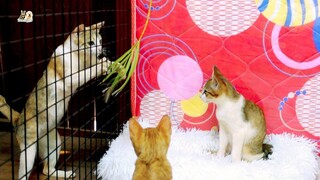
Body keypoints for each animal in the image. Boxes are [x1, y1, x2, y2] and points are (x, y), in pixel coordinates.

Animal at [0, 21, 110, 179]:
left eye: (100, 41)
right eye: (91, 42)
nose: (100, 49)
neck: (78, 55)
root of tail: (18, 118)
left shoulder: (87, 60)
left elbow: (91, 65)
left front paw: (108, 63)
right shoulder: (71, 76)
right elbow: (86, 72)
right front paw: (102, 65)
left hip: (54, 144)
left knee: (47, 169)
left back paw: (65, 173)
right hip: (28, 152)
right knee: (25, 173)